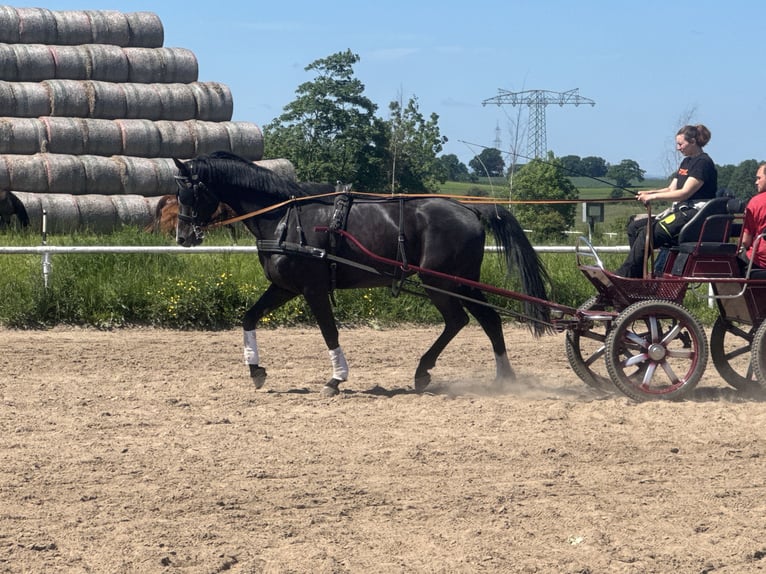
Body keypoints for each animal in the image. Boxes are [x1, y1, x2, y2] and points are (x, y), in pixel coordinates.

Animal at [173, 151, 550, 397]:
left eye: (189, 191)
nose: (182, 236)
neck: (282, 218)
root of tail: (470, 209)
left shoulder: (312, 288)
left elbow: (329, 332)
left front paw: (336, 379)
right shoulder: (284, 287)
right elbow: (249, 318)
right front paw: (255, 370)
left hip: (440, 282)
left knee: (460, 320)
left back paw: (426, 371)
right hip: (460, 281)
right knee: (488, 319)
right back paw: (502, 376)